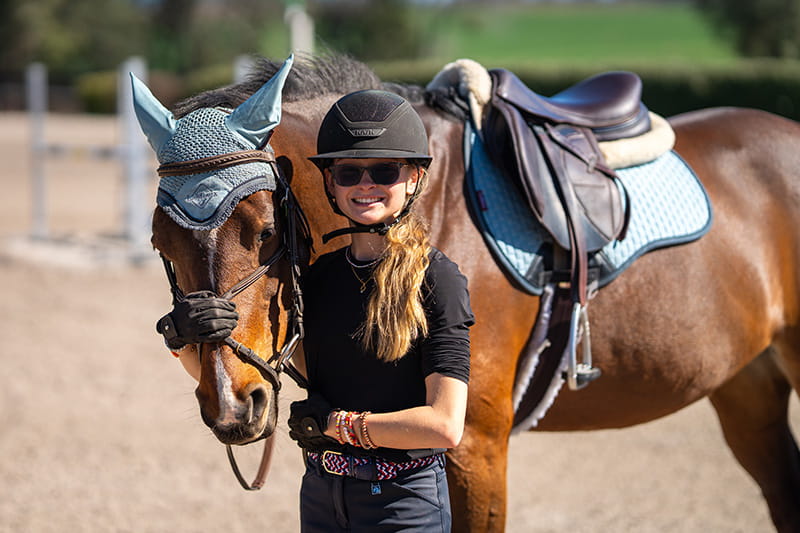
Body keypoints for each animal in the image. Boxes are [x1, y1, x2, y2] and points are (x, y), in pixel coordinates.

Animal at [145, 54, 800, 532]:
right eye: (160, 243)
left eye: (264, 231)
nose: (234, 404)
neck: (425, 212)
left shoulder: (477, 446)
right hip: (746, 384)